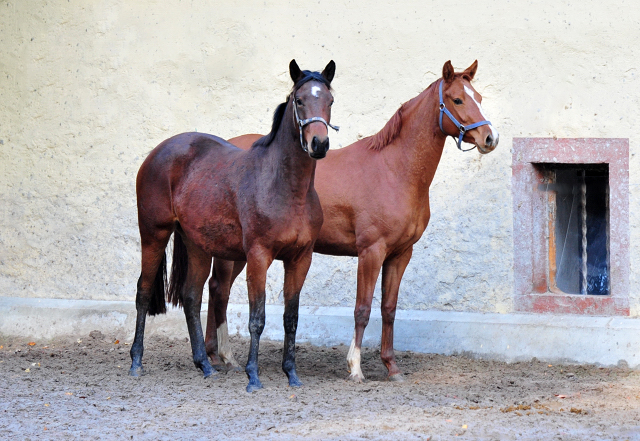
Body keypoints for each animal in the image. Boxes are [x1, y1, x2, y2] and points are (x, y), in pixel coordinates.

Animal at [131, 59, 340, 392]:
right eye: (299, 100)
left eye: (330, 101)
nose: (318, 144)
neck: (286, 188)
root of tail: (158, 152)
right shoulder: (258, 256)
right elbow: (258, 318)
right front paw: (253, 375)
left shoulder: (300, 259)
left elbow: (290, 318)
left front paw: (291, 373)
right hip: (153, 235)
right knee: (143, 291)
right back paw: (136, 362)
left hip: (198, 246)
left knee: (191, 297)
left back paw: (205, 365)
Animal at [206, 60, 500, 380]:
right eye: (457, 100)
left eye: (479, 98)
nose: (490, 138)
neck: (394, 170)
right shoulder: (371, 251)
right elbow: (363, 308)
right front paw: (355, 367)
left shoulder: (400, 254)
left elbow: (388, 308)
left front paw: (391, 366)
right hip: (236, 252)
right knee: (220, 290)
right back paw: (221, 356)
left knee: (216, 290)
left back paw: (215, 355)